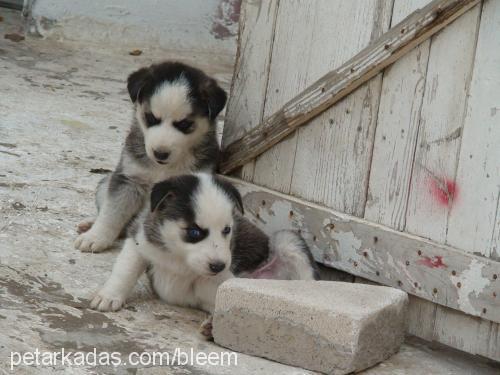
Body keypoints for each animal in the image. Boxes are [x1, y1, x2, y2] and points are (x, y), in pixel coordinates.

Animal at [74, 61, 227, 254]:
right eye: (151, 118)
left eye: (184, 124)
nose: (160, 153)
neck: (162, 168)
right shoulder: (129, 180)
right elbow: (112, 212)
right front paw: (95, 237)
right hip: (105, 182)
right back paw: (90, 225)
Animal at [90, 175, 318, 316]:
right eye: (194, 232)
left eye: (227, 230)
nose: (218, 266)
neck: (179, 258)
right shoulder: (139, 240)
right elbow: (125, 270)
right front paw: (109, 296)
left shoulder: (222, 277)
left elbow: (215, 288)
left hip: (287, 239)